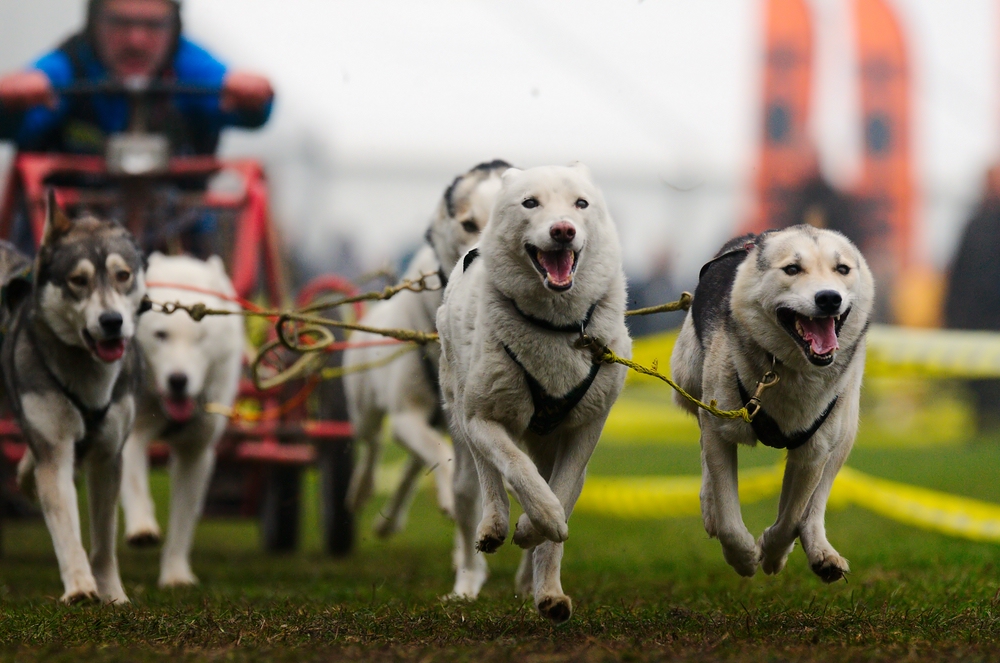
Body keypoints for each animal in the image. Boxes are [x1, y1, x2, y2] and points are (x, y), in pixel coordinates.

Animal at [3, 193, 146, 608]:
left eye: (122, 275)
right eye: (78, 280)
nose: (112, 321)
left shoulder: (108, 456)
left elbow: (104, 540)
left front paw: (112, 592)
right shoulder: (55, 450)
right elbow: (66, 528)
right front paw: (81, 586)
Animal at [119, 254, 244, 588]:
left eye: (201, 337)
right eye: (161, 335)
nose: (178, 380)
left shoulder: (196, 454)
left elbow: (183, 522)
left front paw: (175, 574)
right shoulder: (131, 433)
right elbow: (134, 484)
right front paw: (142, 526)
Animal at [440, 165, 628, 624]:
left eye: (581, 203)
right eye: (530, 203)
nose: (563, 230)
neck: (555, 327)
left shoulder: (586, 428)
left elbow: (560, 492)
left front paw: (536, 535)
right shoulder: (483, 417)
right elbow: (517, 470)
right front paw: (535, 519)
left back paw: (542, 588)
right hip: (463, 412)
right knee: (489, 475)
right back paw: (493, 526)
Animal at [672, 226, 876, 584]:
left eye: (842, 269)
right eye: (792, 269)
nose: (829, 298)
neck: (788, 370)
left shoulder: (813, 452)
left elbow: (793, 517)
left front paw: (772, 552)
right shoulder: (719, 427)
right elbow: (728, 517)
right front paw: (743, 557)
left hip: (845, 429)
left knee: (815, 503)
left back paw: (821, 550)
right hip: (688, 381)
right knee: (702, 443)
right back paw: (709, 508)